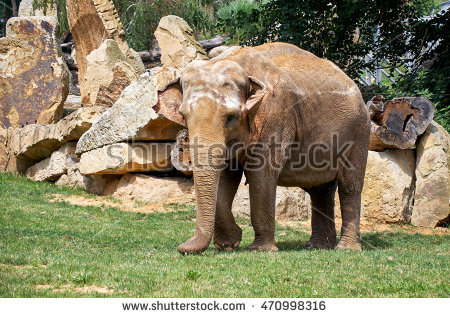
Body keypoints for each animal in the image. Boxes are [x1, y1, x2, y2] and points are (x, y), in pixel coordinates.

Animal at [169, 42, 370, 256]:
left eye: (231, 117)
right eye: (183, 116)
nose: (181, 248)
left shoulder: (275, 114)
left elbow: (261, 174)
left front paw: (259, 249)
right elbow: (226, 175)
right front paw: (229, 243)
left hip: (360, 133)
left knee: (350, 186)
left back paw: (346, 248)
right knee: (320, 189)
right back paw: (318, 246)